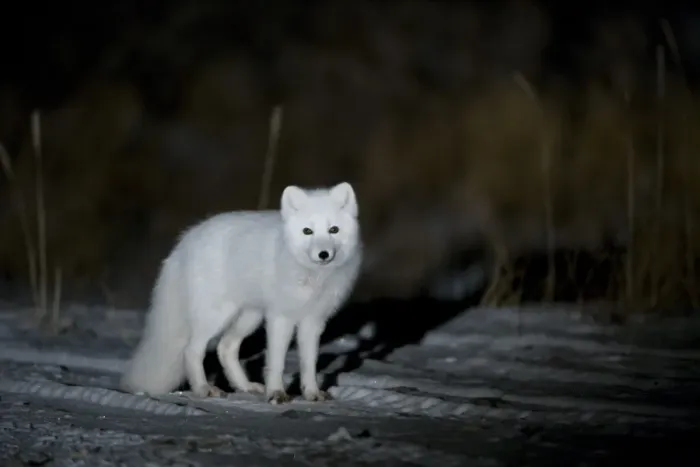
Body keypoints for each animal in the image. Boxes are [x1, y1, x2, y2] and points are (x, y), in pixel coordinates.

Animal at [120, 182, 362, 404]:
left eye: (333, 229)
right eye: (307, 231)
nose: (323, 254)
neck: (312, 276)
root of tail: (187, 239)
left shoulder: (313, 321)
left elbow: (309, 363)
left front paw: (311, 393)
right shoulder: (280, 317)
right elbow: (276, 362)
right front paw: (276, 393)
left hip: (250, 317)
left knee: (225, 348)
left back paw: (244, 386)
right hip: (217, 316)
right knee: (193, 350)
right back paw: (203, 389)